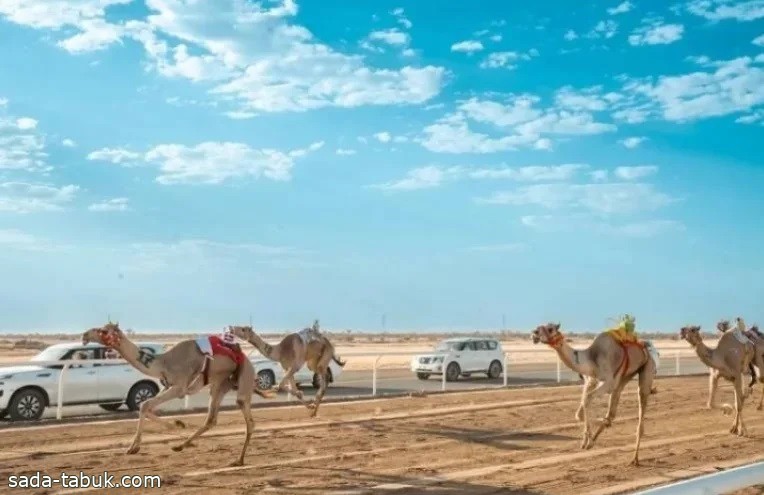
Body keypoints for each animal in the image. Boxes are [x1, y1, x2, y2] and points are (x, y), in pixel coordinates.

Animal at [83, 322, 274, 464]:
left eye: (103, 331)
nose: (84, 336)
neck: (164, 363)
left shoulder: (179, 388)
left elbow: (145, 404)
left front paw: (133, 447)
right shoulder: (168, 386)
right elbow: (146, 406)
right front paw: (177, 424)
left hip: (244, 379)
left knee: (248, 419)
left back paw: (239, 460)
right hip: (220, 384)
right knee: (211, 419)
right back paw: (180, 446)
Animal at [532, 320, 656, 466]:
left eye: (550, 329)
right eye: (539, 326)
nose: (534, 333)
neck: (591, 359)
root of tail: (646, 347)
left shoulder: (608, 382)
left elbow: (588, 398)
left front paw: (588, 440)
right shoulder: (591, 380)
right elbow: (579, 413)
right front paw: (588, 440)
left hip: (646, 368)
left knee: (641, 399)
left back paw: (634, 459)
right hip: (624, 377)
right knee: (611, 413)